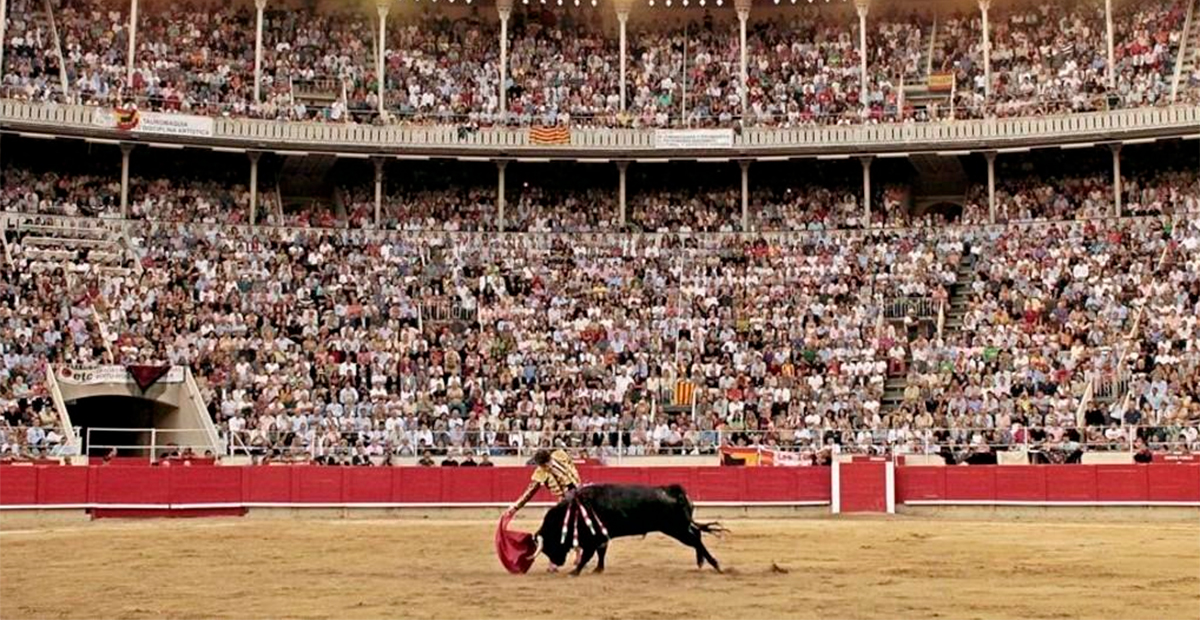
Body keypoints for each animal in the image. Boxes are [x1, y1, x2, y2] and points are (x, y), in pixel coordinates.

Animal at [535, 484, 720, 575]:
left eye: (550, 543)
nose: (558, 562)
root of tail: (673, 491)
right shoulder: (601, 537)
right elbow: (601, 552)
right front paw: (598, 569)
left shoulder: (594, 538)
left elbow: (588, 555)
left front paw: (575, 571)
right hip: (681, 526)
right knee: (697, 534)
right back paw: (701, 562)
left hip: (676, 528)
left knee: (695, 539)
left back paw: (715, 564)